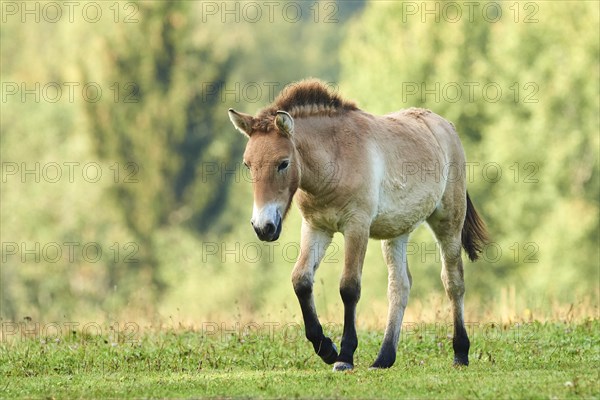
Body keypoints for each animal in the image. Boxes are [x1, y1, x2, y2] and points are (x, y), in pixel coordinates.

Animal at [229, 79, 488, 372]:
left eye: (283, 163)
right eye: (248, 165)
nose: (263, 227)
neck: (335, 158)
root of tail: (445, 125)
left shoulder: (356, 227)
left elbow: (349, 288)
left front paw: (344, 356)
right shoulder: (316, 227)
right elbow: (301, 281)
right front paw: (326, 349)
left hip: (449, 223)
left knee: (453, 282)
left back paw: (460, 352)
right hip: (397, 232)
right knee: (400, 287)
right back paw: (384, 358)